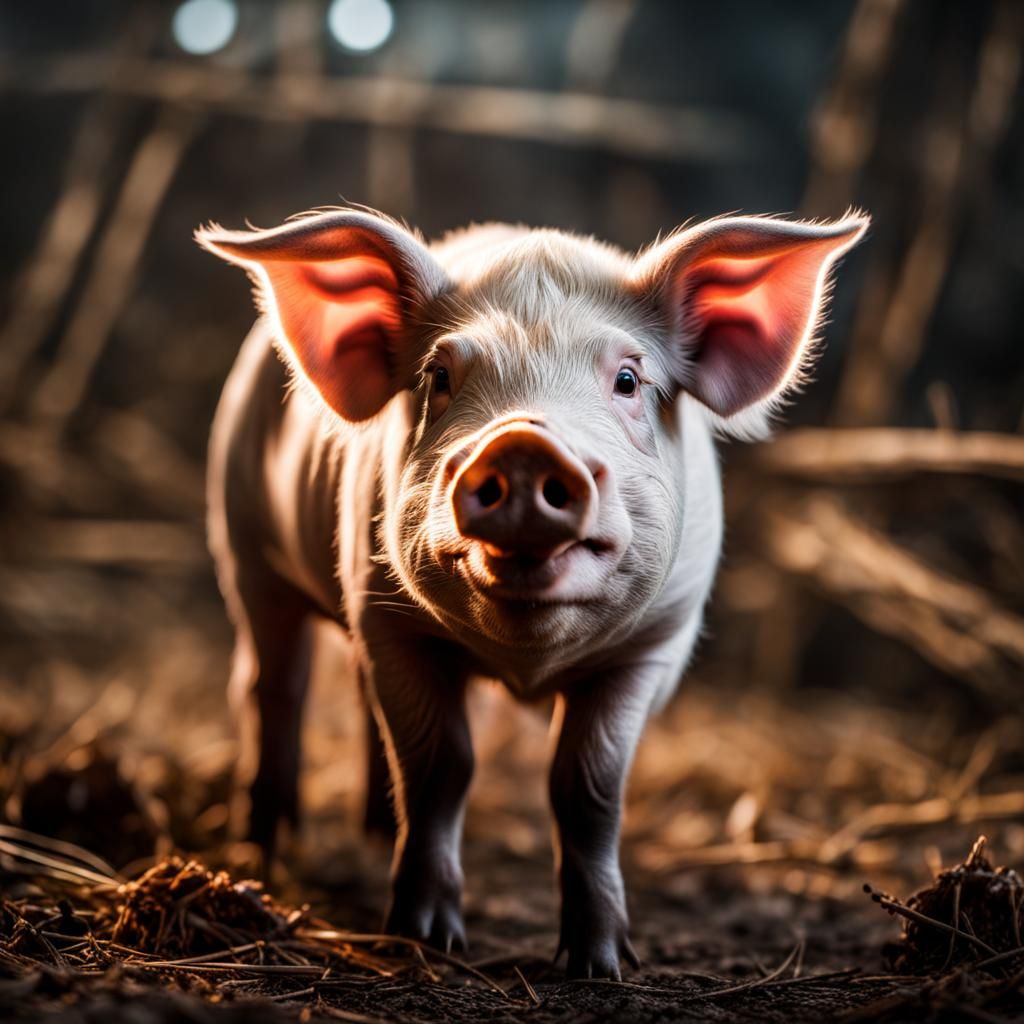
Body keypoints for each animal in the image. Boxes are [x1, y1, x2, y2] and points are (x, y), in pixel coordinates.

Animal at [197, 206, 867, 979]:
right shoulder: (386, 615)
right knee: (271, 685)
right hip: (243, 543)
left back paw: (369, 831)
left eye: (629, 379)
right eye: (439, 376)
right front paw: (427, 940)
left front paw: (600, 966)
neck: (527, 659)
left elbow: (588, 786)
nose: (522, 444)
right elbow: (440, 766)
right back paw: (263, 849)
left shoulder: (656, 644)